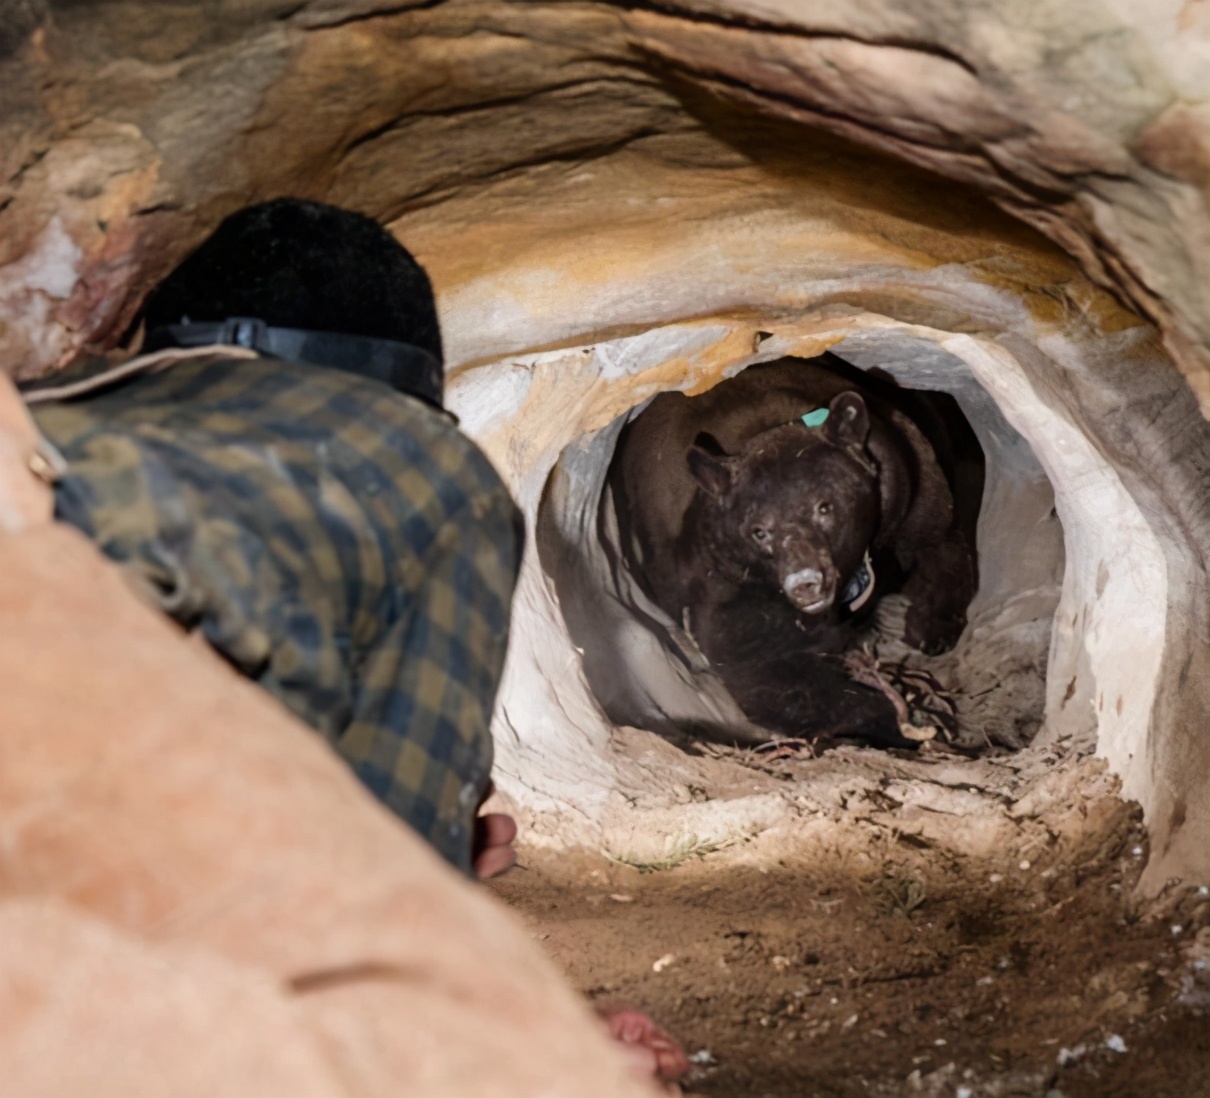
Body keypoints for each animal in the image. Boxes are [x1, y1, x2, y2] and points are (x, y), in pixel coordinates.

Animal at [614, 355, 982, 750]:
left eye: (824, 506)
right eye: (758, 531)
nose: (805, 583)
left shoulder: (907, 483)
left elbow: (941, 541)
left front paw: (932, 629)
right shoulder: (722, 578)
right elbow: (758, 666)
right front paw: (900, 718)